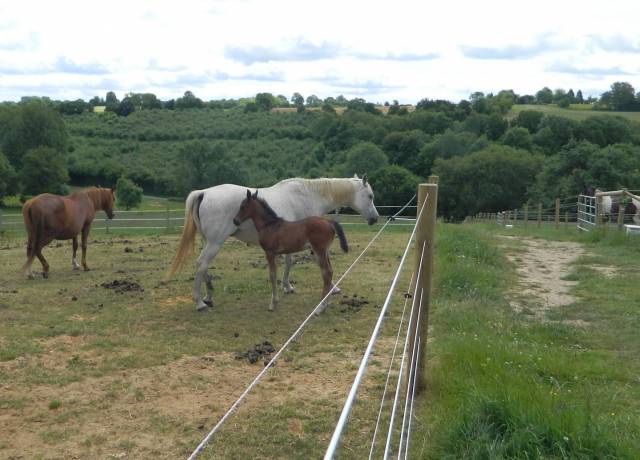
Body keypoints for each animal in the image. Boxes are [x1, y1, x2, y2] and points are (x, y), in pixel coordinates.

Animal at [166, 174, 380, 310]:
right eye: (370, 196)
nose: (375, 218)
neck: (306, 196)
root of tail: (203, 192)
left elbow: (289, 262)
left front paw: (287, 287)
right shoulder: (312, 245)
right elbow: (309, 265)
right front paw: (332, 289)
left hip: (208, 241)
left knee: (203, 267)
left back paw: (209, 295)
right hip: (215, 242)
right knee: (201, 264)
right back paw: (199, 302)